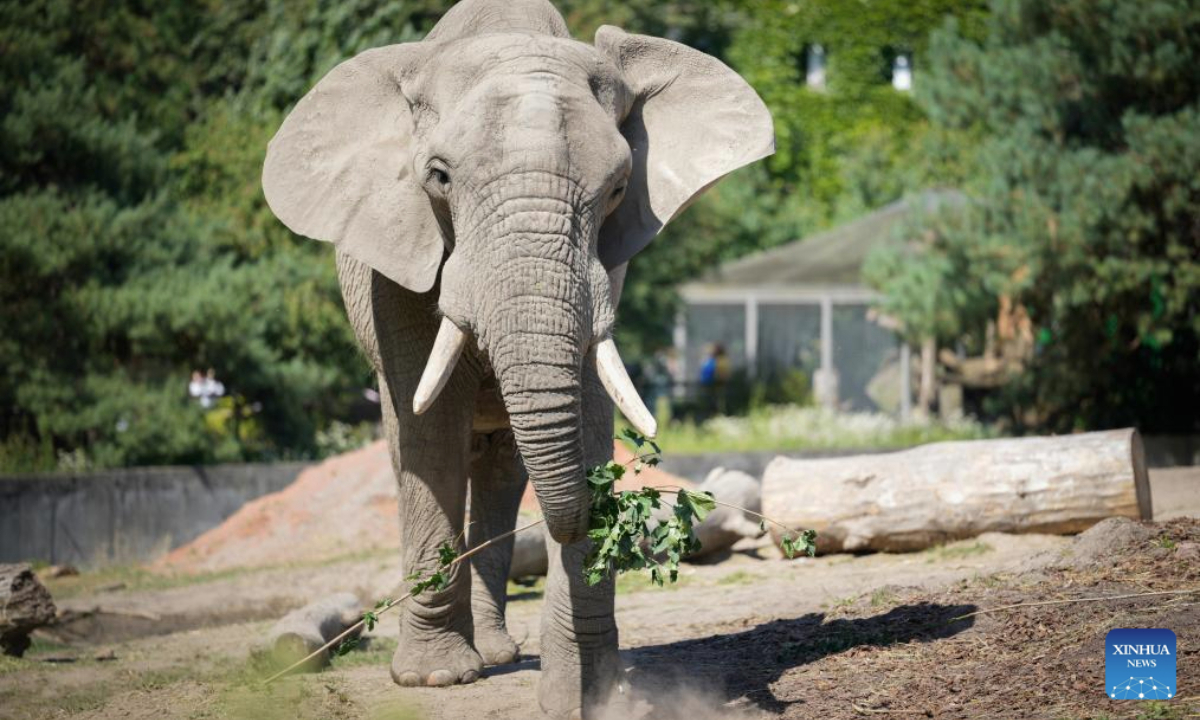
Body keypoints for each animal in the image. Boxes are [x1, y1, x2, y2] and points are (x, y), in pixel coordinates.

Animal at [261, 0, 773, 716]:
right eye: (439, 177)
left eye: (619, 188)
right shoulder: (399, 253)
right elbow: (429, 431)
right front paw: (434, 679)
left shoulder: (605, 268)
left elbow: (589, 412)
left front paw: (589, 691)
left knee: (502, 466)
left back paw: (501, 653)